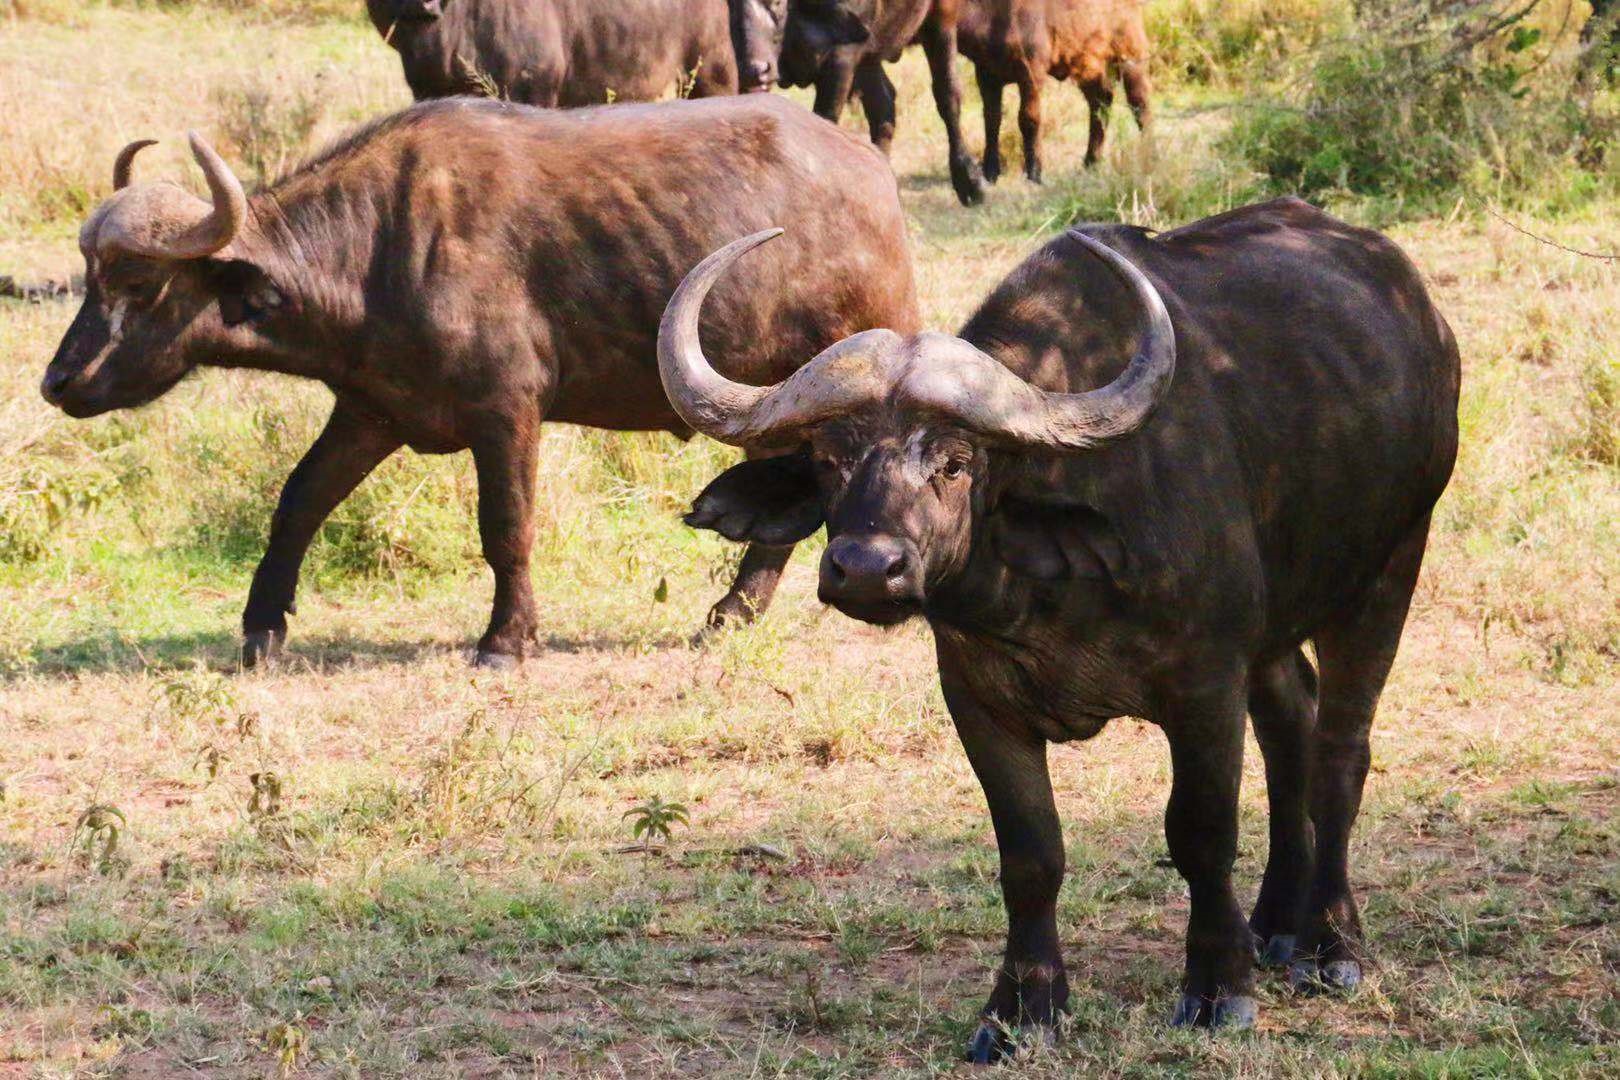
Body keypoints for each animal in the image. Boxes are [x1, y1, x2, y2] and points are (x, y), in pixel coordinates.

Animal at [41, 95, 926, 667]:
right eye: (90, 277)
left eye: (139, 284)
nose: (59, 382)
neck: (378, 249)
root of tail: (868, 174)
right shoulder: (370, 411)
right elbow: (298, 501)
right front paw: (262, 627)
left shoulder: (507, 413)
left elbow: (505, 527)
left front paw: (506, 640)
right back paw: (729, 618)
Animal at [657, 198, 1458, 1062]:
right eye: (831, 459)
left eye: (956, 462)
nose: (867, 568)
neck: (1044, 598)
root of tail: (1417, 307)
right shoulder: (979, 699)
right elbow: (1030, 854)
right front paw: (1023, 1008)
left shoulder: (1205, 685)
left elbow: (1200, 832)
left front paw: (1218, 987)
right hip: (1276, 625)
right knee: (1292, 727)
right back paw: (1276, 923)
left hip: (1391, 565)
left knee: (1340, 753)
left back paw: (1331, 943)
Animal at [732, 0, 984, 207]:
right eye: (732, 5)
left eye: (776, 2)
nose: (756, 70)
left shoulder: (842, 57)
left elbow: (824, 121)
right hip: (870, 56)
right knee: (883, 105)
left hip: (940, 19)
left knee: (947, 95)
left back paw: (970, 181)